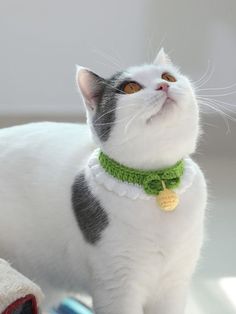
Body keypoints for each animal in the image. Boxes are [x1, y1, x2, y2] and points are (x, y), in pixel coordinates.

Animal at [0, 47, 206, 312]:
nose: (163, 86)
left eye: (168, 77)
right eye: (131, 87)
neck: (156, 182)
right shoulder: (118, 284)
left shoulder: (174, 283)